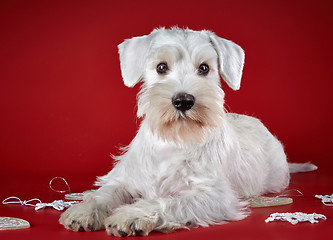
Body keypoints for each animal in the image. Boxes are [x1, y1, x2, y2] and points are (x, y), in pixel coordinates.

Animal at [59, 27, 316, 236]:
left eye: (204, 68)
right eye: (161, 67)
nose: (183, 101)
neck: (173, 141)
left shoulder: (212, 195)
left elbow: (170, 202)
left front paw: (132, 215)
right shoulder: (126, 179)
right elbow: (105, 193)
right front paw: (84, 210)